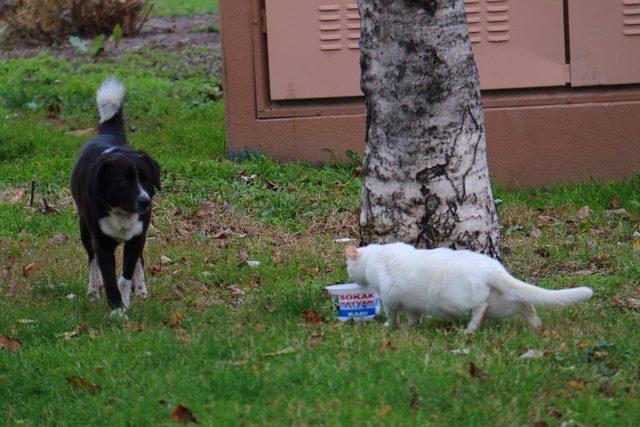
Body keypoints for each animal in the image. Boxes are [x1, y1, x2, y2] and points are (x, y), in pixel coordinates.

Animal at [69, 79, 160, 318]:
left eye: (146, 180)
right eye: (122, 182)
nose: (145, 202)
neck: (121, 212)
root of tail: (109, 134)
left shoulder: (137, 237)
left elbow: (125, 275)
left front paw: (125, 300)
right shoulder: (102, 244)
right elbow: (108, 278)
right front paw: (117, 309)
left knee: (139, 260)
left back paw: (141, 289)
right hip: (85, 230)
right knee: (92, 260)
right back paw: (93, 289)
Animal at [348, 242, 592, 332]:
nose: (351, 277)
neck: (375, 257)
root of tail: (491, 267)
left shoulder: (390, 297)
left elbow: (392, 315)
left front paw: (390, 326)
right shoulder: (411, 304)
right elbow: (413, 317)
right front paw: (411, 328)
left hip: (453, 301)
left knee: (480, 307)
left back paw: (469, 330)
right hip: (501, 304)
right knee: (525, 304)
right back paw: (535, 324)